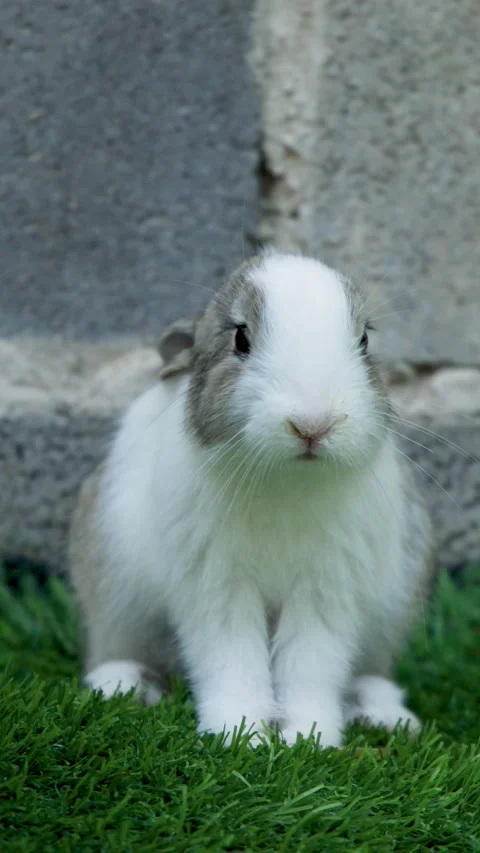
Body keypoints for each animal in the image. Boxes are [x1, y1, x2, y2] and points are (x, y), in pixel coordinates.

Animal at [68, 250, 434, 748]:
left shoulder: (324, 591)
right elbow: (233, 662)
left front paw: (308, 739)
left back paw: (385, 715)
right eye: (240, 338)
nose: (312, 424)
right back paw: (122, 686)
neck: (286, 477)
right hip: (114, 592)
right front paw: (239, 735)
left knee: (369, 673)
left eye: (363, 341)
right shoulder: (219, 586)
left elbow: (309, 667)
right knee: (118, 650)